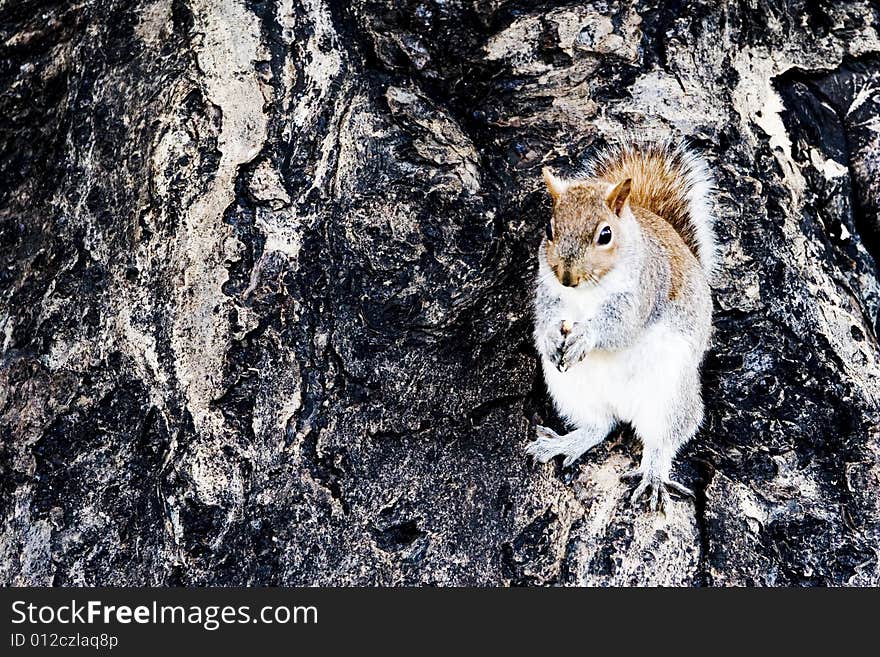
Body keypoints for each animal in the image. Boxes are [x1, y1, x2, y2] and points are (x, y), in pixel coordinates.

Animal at [524, 138, 716, 510]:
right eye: (549, 229)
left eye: (605, 235)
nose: (566, 276)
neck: (586, 291)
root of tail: (624, 408)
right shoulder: (548, 292)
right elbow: (544, 317)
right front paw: (551, 336)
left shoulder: (642, 292)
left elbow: (619, 327)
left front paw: (586, 336)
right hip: (570, 389)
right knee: (600, 426)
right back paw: (565, 443)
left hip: (668, 394)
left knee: (663, 439)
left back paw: (654, 476)